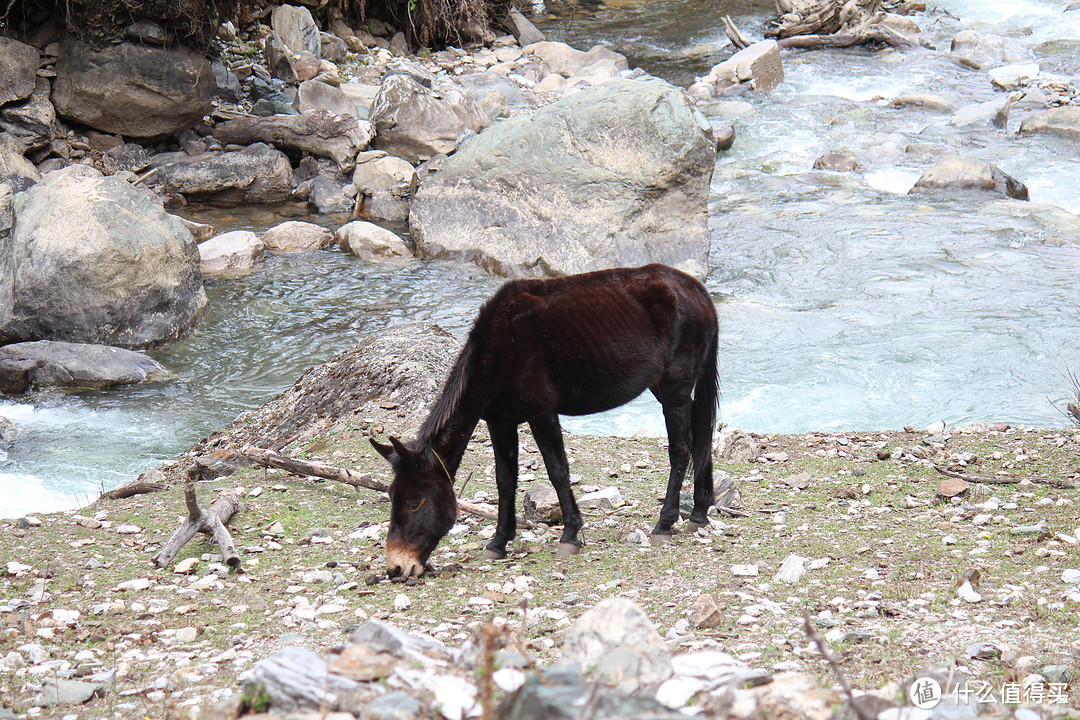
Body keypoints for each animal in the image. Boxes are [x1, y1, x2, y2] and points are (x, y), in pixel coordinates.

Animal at [371, 264, 717, 578]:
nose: (396, 567)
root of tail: (698, 291)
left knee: (681, 450)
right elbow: (505, 480)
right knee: (700, 437)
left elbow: (558, 471)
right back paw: (699, 512)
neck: (498, 351)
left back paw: (664, 524)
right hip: (668, 389)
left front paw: (571, 535)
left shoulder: (542, 413)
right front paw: (498, 542)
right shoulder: (500, 421)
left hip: (674, 389)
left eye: (414, 503)